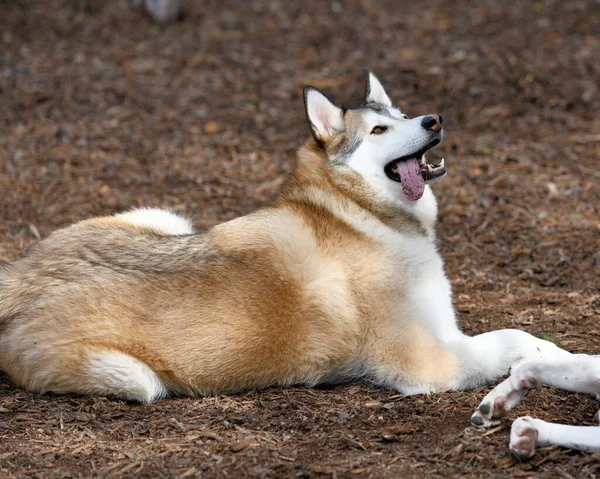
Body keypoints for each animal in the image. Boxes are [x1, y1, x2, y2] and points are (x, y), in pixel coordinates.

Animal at [0, 71, 572, 404]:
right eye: (380, 131)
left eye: (403, 115)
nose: (433, 119)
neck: (359, 214)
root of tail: (19, 277)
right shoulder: (429, 362)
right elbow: (513, 340)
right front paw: (557, 359)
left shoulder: (446, 334)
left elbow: (519, 335)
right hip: (136, 380)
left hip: (167, 219)